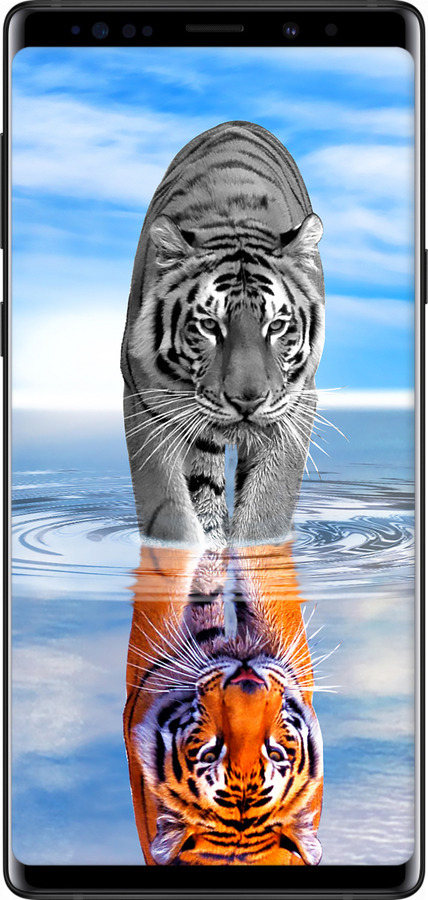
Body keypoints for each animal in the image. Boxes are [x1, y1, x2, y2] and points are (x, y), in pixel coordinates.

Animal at [121, 120, 325, 548]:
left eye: (276, 326)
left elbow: (267, 508)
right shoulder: (145, 401)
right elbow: (168, 511)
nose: (247, 401)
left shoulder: (296, 404)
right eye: (210, 326)